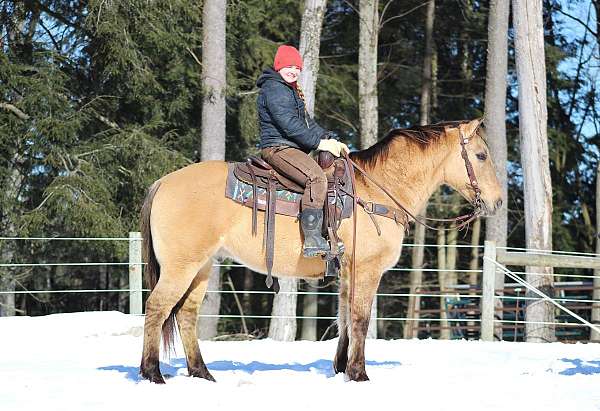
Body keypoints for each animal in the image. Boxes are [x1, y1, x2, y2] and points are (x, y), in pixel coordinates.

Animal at [136, 117, 502, 384]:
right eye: (481, 156)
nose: (498, 202)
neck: (377, 192)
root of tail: (163, 182)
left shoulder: (348, 273)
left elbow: (344, 319)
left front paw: (341, 368)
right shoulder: (367, 271)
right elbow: (360, 319)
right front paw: (359, 374)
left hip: (201, 267)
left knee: (185, 314)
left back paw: (202, 373)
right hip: (181, 267)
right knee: (157, 307)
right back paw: (153, 374)